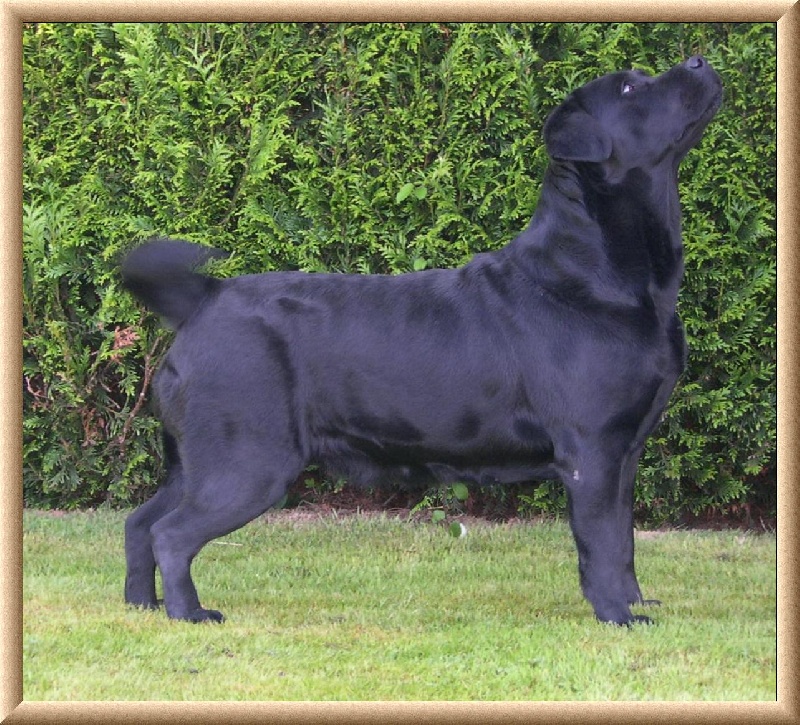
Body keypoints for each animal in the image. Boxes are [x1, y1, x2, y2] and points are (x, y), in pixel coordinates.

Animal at [122, 56, 720, 624]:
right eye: (629, 89)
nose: (698, 60)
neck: (601, 276)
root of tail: (205, 298)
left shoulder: (625, 452)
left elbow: (624, 540)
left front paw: (636, 602)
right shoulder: (592, 449)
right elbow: (602, 542)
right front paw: (618, 615)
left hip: (198, 457)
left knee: (140, 521)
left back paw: (142, 605)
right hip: (248, 459)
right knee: (171, 534)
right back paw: (189, 613)